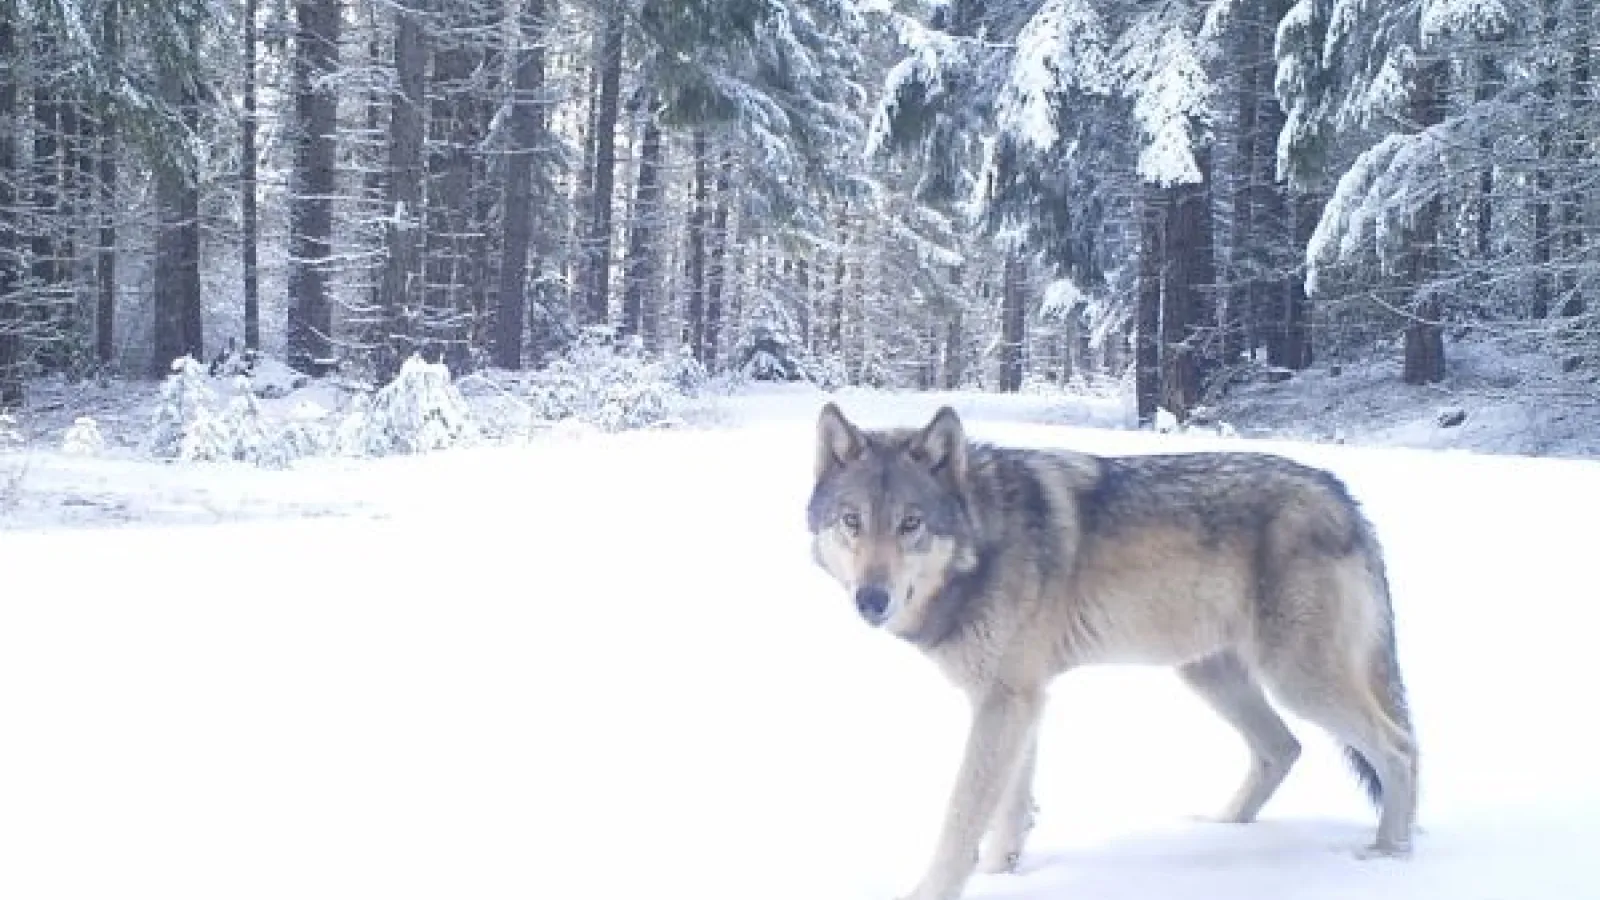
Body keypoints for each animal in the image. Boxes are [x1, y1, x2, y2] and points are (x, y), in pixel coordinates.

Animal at [805, 403, 1419, 900]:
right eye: (852, 521)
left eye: (910, 524)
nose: (871, 599)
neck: (985, 540)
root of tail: (1343, 494)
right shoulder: (1021, 699)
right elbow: (1011, 809)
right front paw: (1004, 874)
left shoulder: (1005, 701)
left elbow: (963, 815)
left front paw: (934, 890)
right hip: (1211, 676)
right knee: (1283, 748)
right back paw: (1218, 828)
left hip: (1295, 680)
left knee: (1399, 748)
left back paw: (1389, 856)